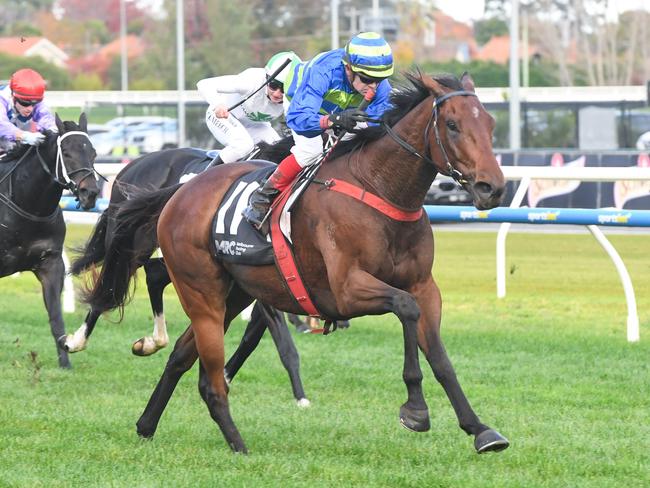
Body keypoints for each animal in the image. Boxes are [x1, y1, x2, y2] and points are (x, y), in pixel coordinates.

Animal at [0, 113, 99, 366]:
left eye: (93, 152)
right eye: (67, 152)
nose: (90, 193)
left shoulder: (51, 263)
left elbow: (56, 316)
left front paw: (65, 362)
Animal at [66, 140, 316, 404]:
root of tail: (133, 165)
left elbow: (253, 336)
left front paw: (226, 375)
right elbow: (280, 337)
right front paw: (300, 396)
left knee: (153, 275)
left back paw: (153, 341)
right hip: (134, 243)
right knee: (110, 287)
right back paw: (77, 341)